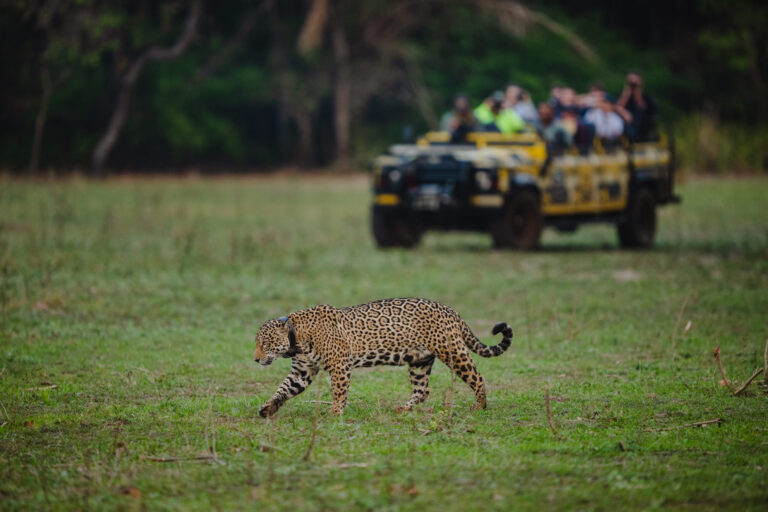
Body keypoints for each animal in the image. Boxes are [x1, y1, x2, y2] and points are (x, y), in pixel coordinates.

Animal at [253, 298, 513, 417]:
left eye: (264, 343)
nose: (255, 359)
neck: (297, 336)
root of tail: (450, 310)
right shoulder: (302, 371)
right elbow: (283, 389)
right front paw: (268, 408)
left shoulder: (339, 366)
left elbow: (338, 391)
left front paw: (335, 412)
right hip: (419, 361)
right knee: (422, 390)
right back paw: (403, 409)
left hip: (452, 352)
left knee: (477, 377)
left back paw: (479, 406)